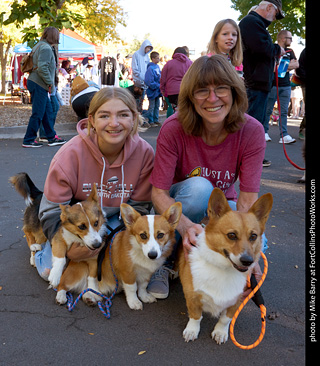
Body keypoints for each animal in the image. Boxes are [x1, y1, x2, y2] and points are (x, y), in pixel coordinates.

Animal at [178, 187, 272, 344]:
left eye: (253, 236)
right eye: (232, 235)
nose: (248, 261)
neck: (224, 269)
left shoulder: (236, 300)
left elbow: (225, 319)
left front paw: (220, 332)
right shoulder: (192, 297)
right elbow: (196, 316)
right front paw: (192, 331)